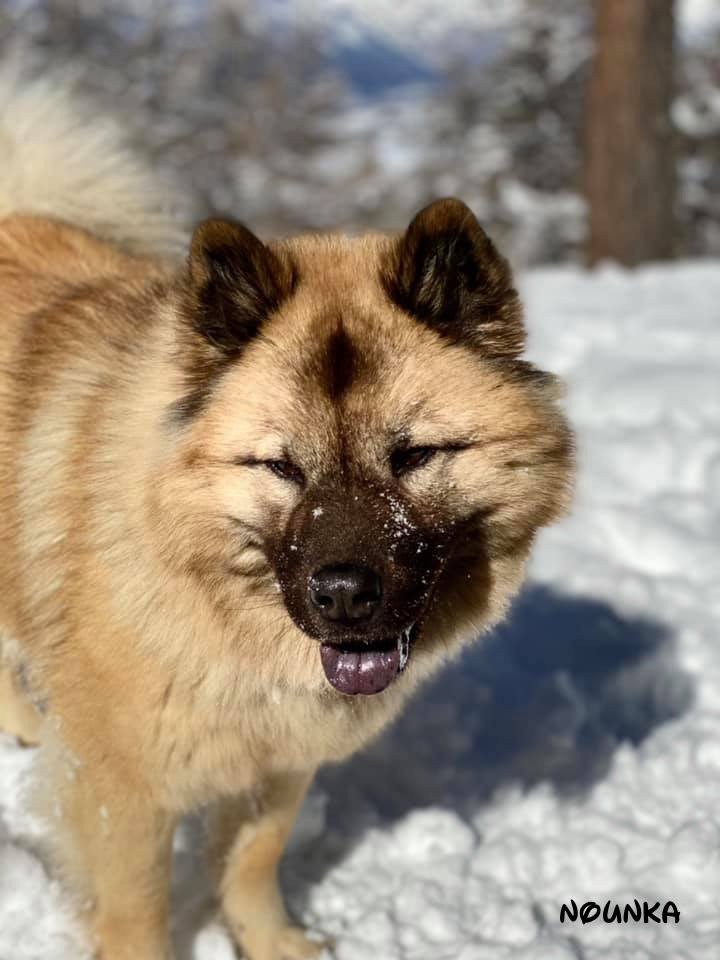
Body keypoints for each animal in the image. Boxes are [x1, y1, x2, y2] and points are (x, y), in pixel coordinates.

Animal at [0, 70, 573, 960]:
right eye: (281, 467)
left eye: (414, 456)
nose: (343, 595)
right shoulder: (123, 791)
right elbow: (139, 911)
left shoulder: (278, 762)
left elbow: (252, 862)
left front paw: (271, 942)